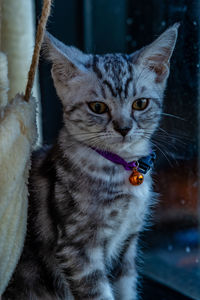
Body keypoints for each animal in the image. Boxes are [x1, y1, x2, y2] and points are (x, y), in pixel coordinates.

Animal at [2, 24, 178, 300]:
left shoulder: (128, 243)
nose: (124, 128)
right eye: (98, 107)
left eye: (140, 103)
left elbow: (126, 287)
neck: (119, 168)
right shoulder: (77, 246)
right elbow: (98, 293)